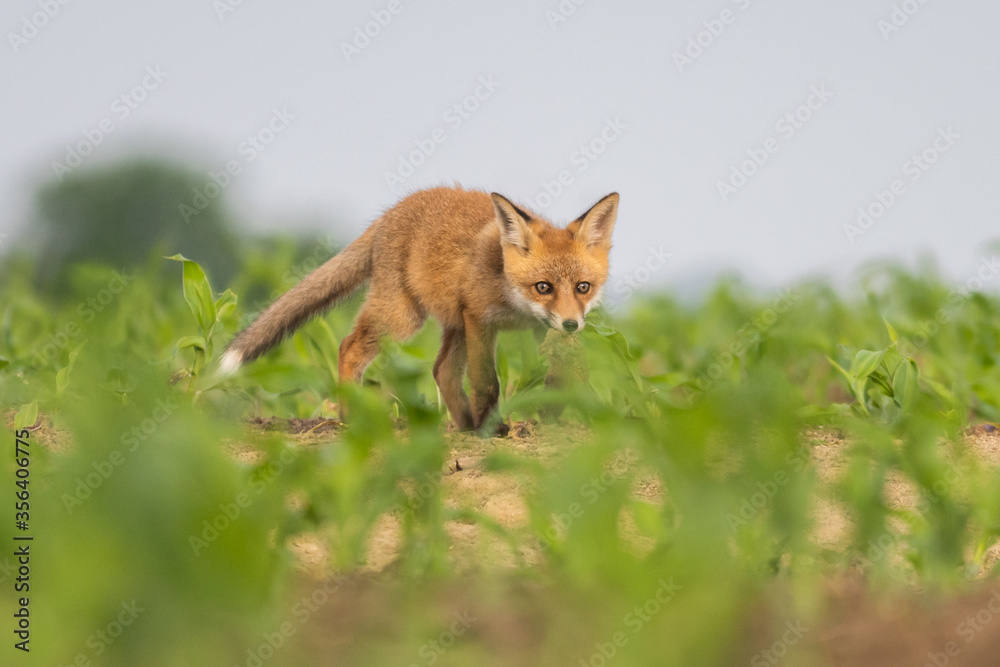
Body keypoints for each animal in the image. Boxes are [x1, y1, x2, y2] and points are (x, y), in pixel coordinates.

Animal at [220, 186, 619, 435]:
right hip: (403, 318)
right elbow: (487, 382)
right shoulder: (480, 319)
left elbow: (574, 365)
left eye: (583, 287)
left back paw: (464, 426)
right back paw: (352, 419)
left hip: (451, 324)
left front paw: (552, 408)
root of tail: (390, 213)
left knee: (441, 371)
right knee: (349, 348)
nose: (572, 324)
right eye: (543, 287)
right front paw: (494, 430)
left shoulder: (540, 326)